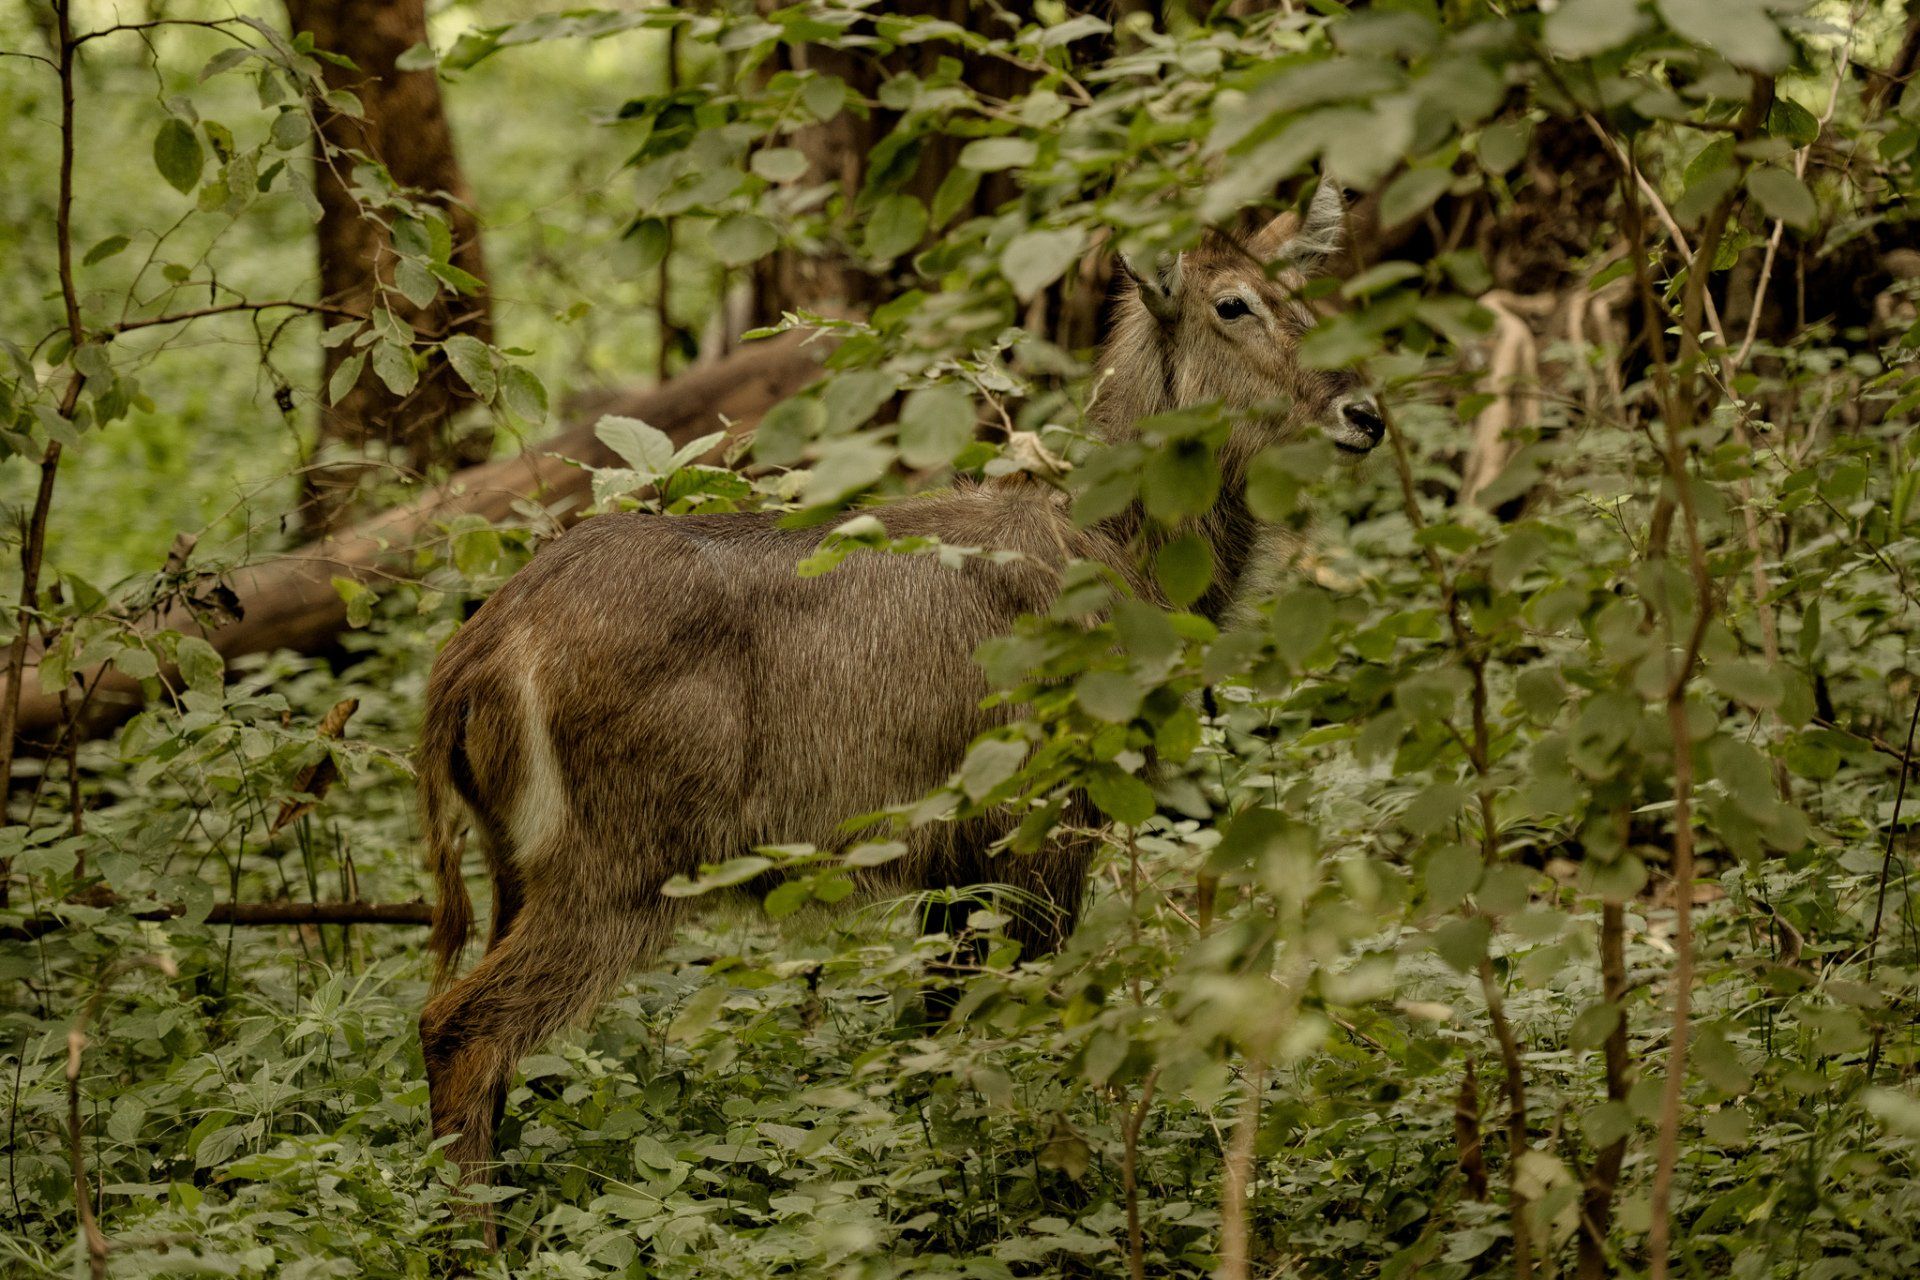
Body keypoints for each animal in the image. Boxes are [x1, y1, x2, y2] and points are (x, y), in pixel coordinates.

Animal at [415, 180, 1384, 1232]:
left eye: (1306, 290)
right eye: (1232, 304)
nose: (1364, 411)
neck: (1116, 555)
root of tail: (475, 650)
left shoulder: (947, 862)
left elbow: (938, 1033)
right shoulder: (1041, 829)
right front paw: (1049, 1187)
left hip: (520, 870)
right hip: (618, 870)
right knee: (456, 1027)